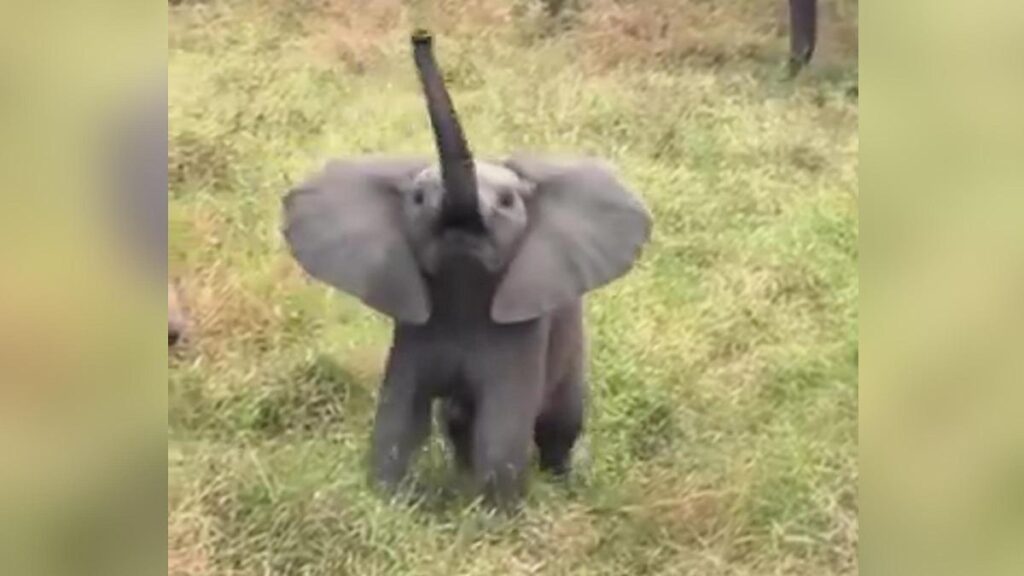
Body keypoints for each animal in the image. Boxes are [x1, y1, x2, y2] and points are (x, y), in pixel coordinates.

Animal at [281, 31, 652, 505]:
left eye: (508, 202)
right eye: (418, 199)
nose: (421, 35)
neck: (464, 286)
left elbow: (502, 424)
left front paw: (492, 513)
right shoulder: (416, 324)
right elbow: (400, 413)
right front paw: (389, 502)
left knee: (558, 421)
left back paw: (560, 481)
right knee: (459, 419)